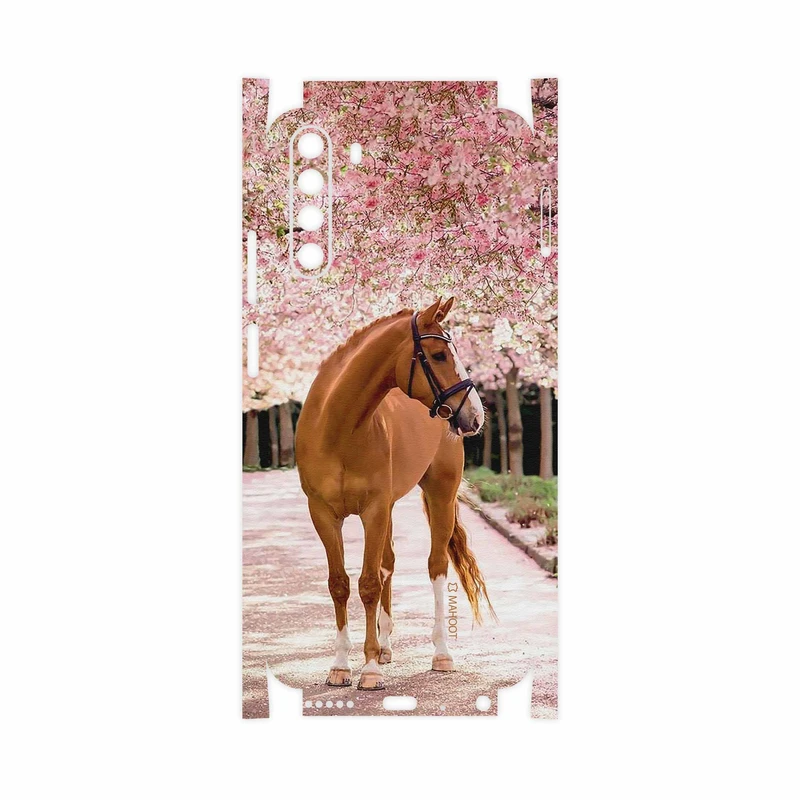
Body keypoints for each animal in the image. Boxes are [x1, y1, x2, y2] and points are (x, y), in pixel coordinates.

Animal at [295, 297, 494, 690]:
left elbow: (369, 584)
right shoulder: (324, 514)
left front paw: (369, 669)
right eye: (438, 355)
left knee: (435, 566)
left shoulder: (373, 510)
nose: (476, 416)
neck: (338, 428)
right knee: (388, 563)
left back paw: (441, 653)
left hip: (439, 494)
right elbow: (340, 584)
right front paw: (341, 666)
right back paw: (385, 646)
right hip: (388, 508)